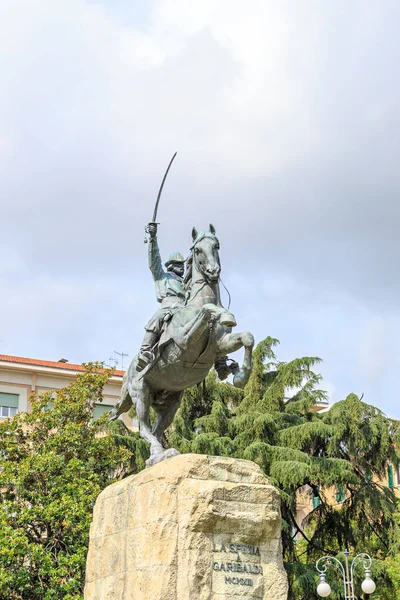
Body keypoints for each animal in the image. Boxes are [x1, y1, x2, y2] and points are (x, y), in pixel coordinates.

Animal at [110, 223, 253, 466]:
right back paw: (158, 454)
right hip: (141, 394)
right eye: (197, 250)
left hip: (171, 403)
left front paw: (240, 376)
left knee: (157, 430)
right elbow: (208, 310)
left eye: (216, 245)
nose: (213, 272)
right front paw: (225, 314)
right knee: (144, 429)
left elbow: (247, 338)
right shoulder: (185, 340)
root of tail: (126, 374)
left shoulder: (219, 346)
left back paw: (161, 455)